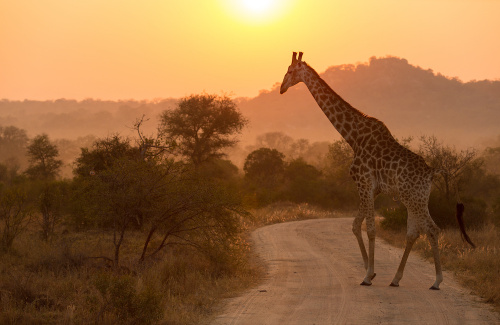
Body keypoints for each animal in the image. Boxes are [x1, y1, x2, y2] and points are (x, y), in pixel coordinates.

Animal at [280, 52, 474, 288]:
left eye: (290, 71)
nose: (281, 88)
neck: (353, 137)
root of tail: (431, 172)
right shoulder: (373, 189)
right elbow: (356, 225)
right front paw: (369, 271)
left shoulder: (363, 182)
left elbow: (370, 228)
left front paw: (367, 275)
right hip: (417, 198)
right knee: (413, 232)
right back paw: (396, 279)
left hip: (413, 198)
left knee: (431, 229)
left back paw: (436, 281)